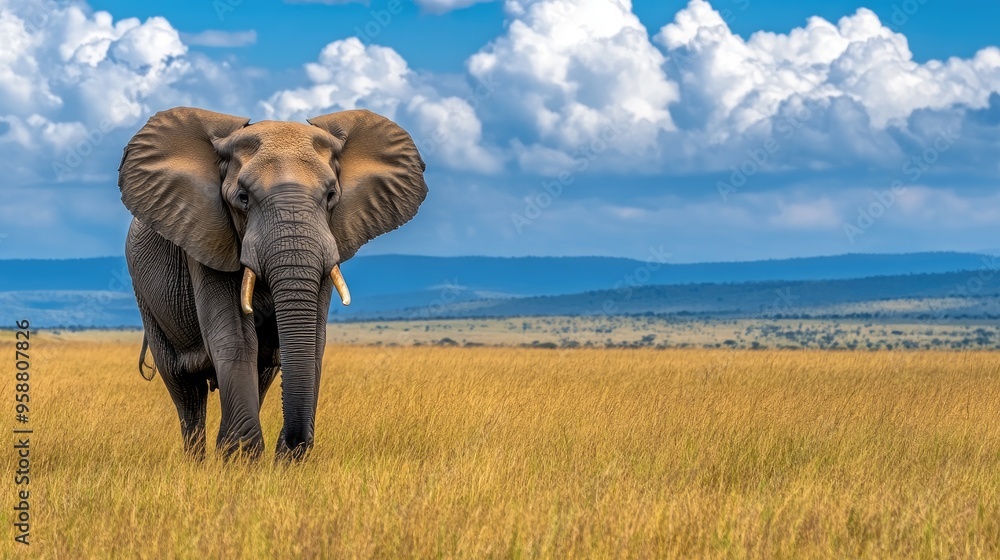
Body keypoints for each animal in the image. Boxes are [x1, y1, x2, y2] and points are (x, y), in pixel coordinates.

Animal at [118, 107, 427, 460]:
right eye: (242, 197)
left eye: (331, 195)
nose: (292, 447)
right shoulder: (208, 236)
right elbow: (236, 338)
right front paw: (240, 459)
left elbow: (314, 340)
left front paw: (279, 460)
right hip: (145, 294)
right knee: (185, 389)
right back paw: (196, 462)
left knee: (261, 372)